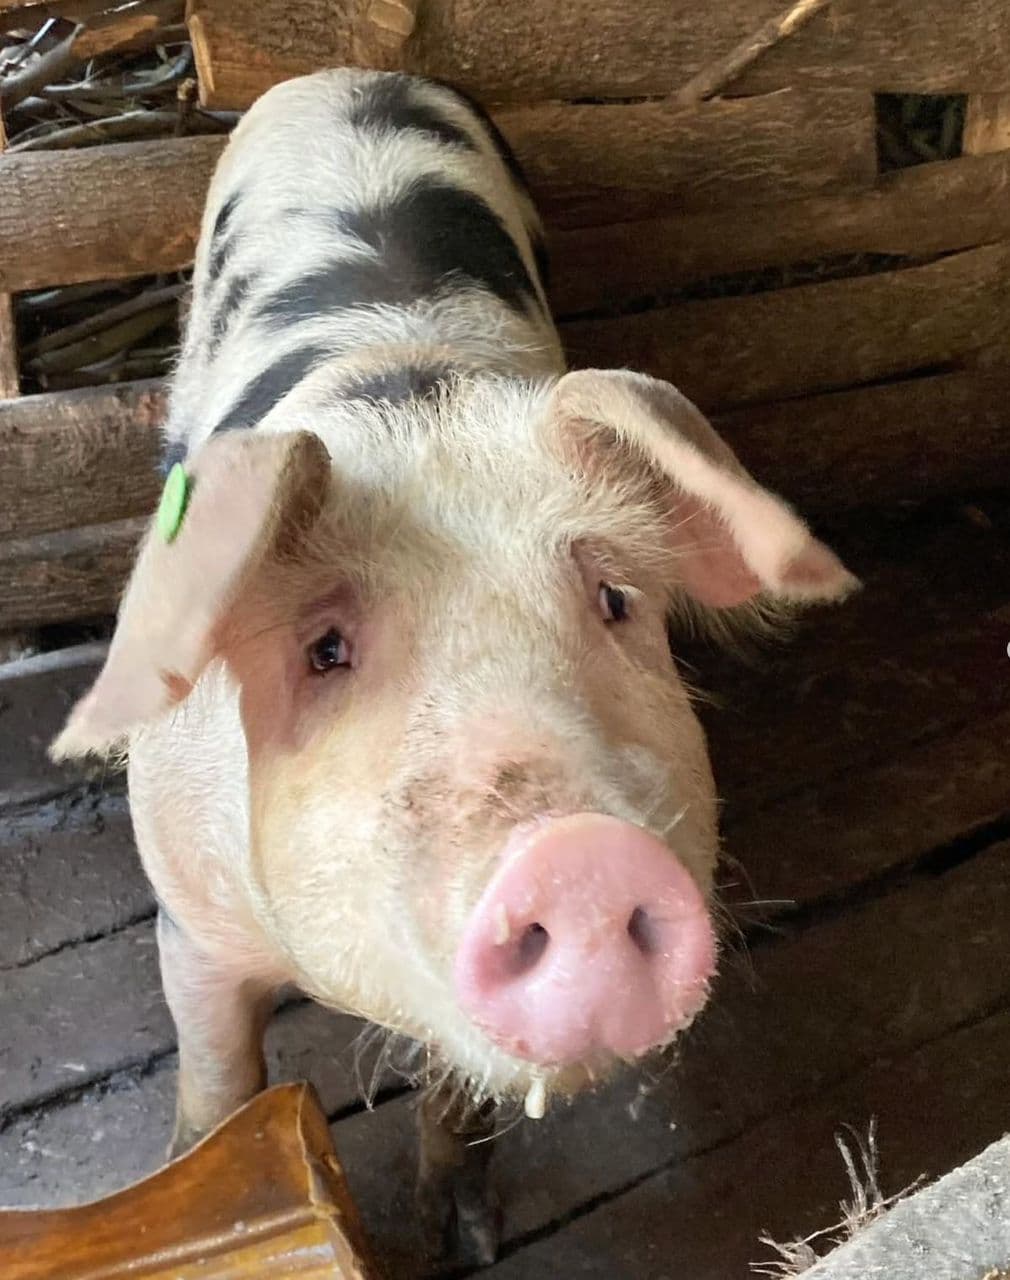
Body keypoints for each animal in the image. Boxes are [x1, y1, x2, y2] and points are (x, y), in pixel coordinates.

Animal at [52, 68, 857, 1262]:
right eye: (325, 648)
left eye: (614, 601)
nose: (577, 857)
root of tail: (353, 73)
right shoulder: (187, 918)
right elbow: (219, 1079)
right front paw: (198, 1180)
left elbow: (458, 1092)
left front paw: (458, 1238)